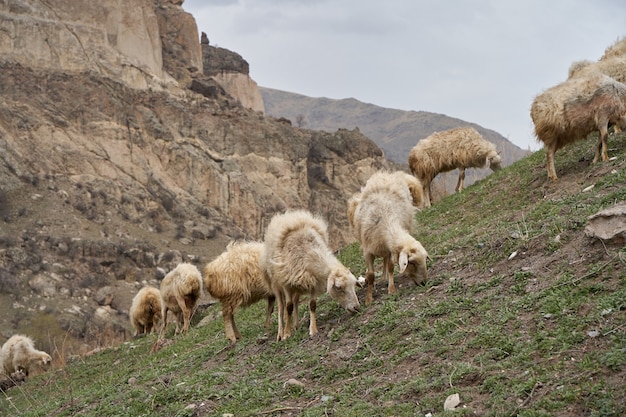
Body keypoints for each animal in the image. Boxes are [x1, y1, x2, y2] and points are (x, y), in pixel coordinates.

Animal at [260, 210, 358, 340]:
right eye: (339, 288)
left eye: (354, 285)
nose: (357, 307)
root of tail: (287, 214)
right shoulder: (286, 284)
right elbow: (288, 307)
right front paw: (287, 334)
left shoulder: (313, 281)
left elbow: (312, 305)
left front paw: (313, 329)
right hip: (276, 283)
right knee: (281, 307)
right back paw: (280, 333)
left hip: (298, 283)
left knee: (295, 301)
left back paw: (296, 325)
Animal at [346, 171, 428, 304]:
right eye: (412, 262)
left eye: (425, 259)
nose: (424, 283)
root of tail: (390, 174)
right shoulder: (368, 251)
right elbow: (371, 274)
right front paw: (369, 298)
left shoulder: (390, 249)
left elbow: (390, 266)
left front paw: (391, 289)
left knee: (385, 260)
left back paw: (385, 278)